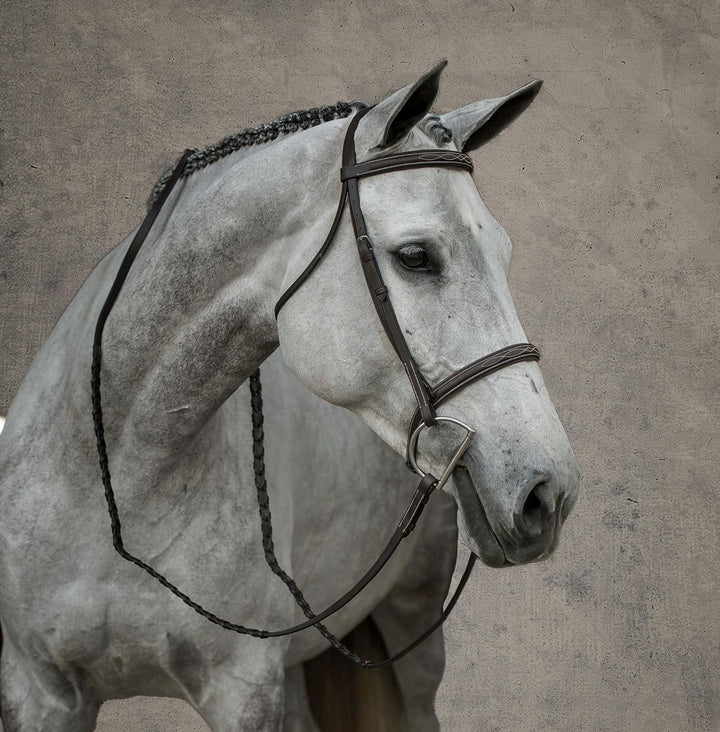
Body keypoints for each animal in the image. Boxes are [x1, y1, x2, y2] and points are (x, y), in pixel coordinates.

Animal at [0, 64, 580, 732]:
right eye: (416, 256)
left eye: (506, 253)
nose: (549, 491)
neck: (119, 484)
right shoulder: (39, 690)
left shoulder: (244, 692)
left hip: (412, 614)